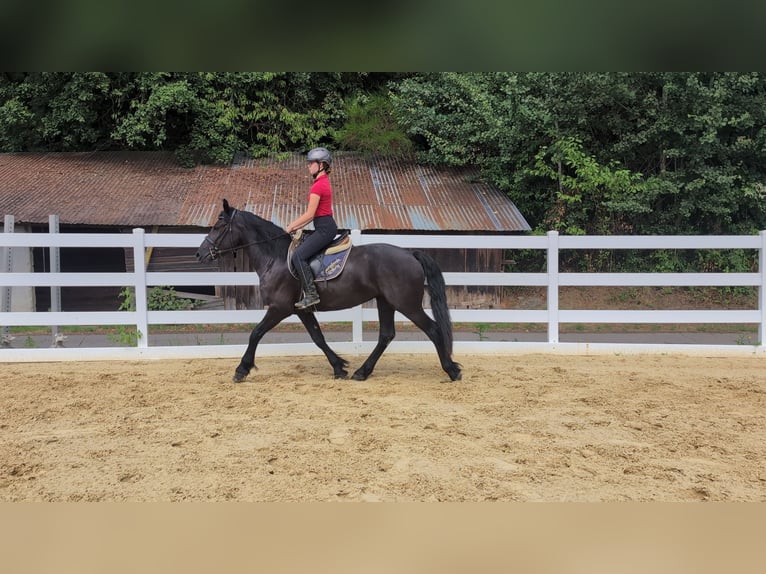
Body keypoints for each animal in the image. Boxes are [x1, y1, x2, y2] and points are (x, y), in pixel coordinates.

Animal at [196, 199, 462, 383]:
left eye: (219, 225)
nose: (200, 254)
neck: (276, 257)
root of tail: (410, 253)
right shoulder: (301, 310)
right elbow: (318, 338)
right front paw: (339, 366)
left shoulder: (279, 308)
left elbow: (255, 333)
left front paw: (241, 369)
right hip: (385, 301)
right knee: (386, 335)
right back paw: (361, 372)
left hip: (407, 304)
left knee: (433, 329)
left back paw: (451, 370)